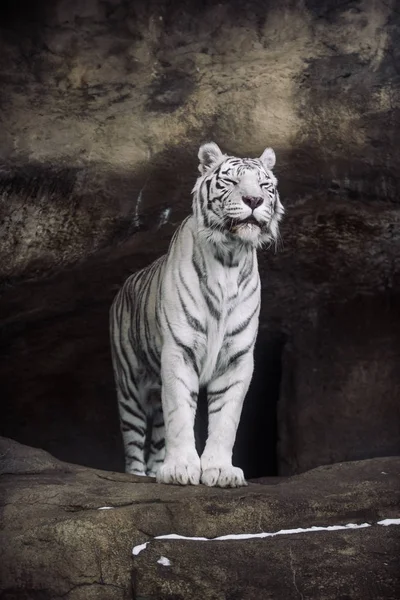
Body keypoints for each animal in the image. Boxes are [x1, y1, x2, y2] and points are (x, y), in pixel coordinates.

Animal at [110, 142, 284, 488]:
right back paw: (138, 475)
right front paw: (180, 468)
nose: (254, 200)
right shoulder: (179, 350)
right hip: (129, 385)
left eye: (264, 185)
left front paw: (220, 470)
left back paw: (156, 470)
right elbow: (180, 413)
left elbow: (226, 419)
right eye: (231, 181)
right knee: (134, 438)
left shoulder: (237, 358)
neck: (230, 257)